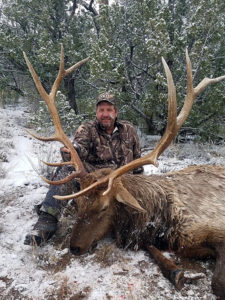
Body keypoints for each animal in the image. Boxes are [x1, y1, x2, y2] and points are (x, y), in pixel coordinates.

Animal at [23, 44, 225, 298]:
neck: (163, 217)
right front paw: (176, 272)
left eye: (104, 207)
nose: (74, 247)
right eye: (78, 203)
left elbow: (217, 283)